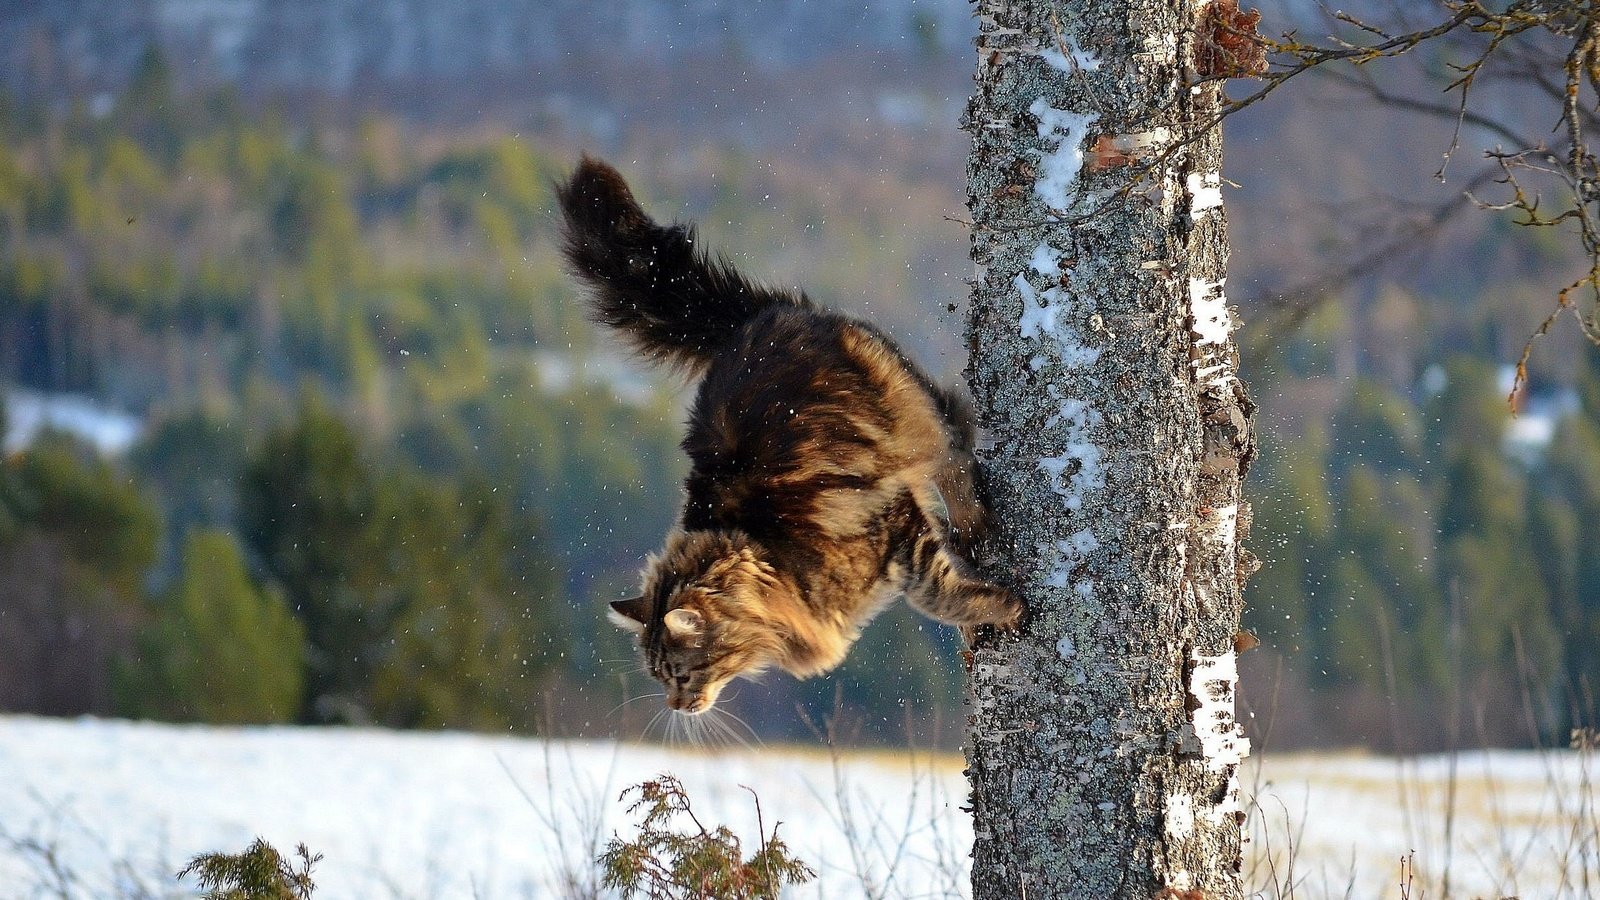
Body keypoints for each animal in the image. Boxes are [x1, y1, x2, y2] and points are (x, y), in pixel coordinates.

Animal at [556, 157, 1017, 711]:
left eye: (682, 673)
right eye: (657, 677)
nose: (678, 707)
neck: (768, 555)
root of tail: (759, 317)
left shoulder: (891, 522)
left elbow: (938, 596)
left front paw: (1003, 609)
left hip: (909, 412)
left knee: (955, 451)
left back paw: (973, 524)